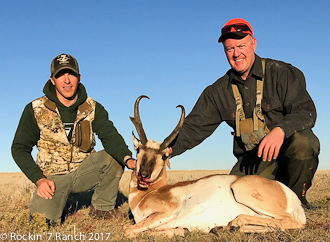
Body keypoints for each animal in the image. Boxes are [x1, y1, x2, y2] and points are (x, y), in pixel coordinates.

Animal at [124, 95, 306, 237]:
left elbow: (129, 230)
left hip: (240, 188)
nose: (144, 175)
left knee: (290, 221)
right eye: (138, 149)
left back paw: (232, 224)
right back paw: (224, 228)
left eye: (163, 155)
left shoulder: (167, 211)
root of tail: (287, 193)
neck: (148, 194)